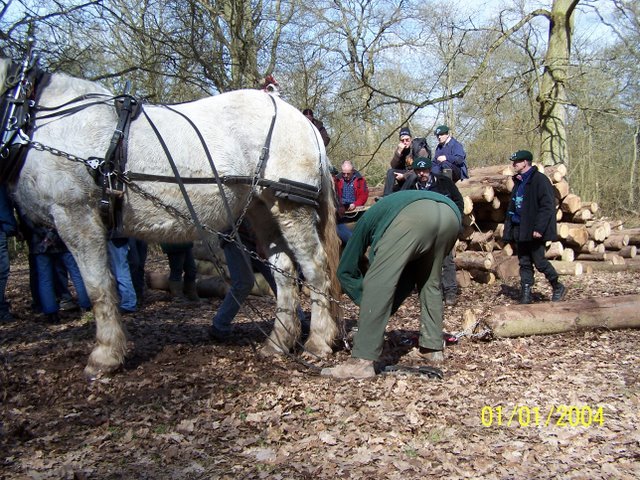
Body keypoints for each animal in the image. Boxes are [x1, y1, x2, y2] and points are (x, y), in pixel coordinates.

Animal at [0, 58, 342, 376]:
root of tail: (300, 119)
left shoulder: (75, 214)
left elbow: (98, 287)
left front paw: (105, 356)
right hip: (261, 209)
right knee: (284, 271)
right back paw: (277, 342)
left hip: (291, 207)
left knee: (315, 268)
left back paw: (317, 341)